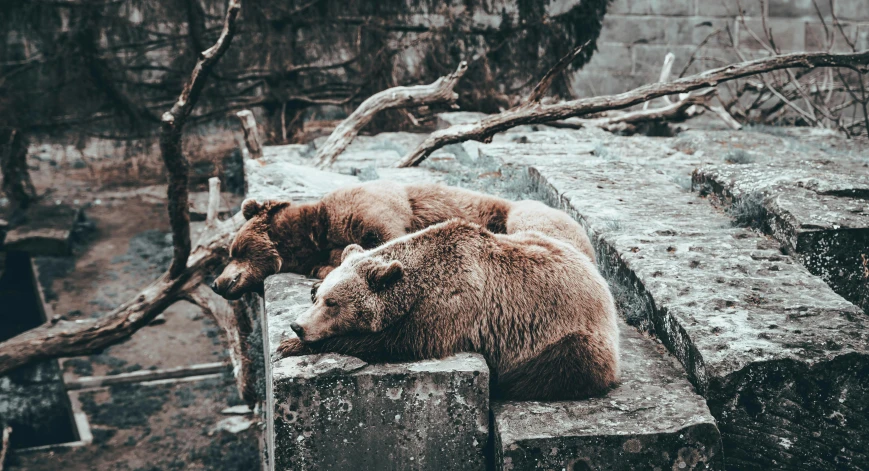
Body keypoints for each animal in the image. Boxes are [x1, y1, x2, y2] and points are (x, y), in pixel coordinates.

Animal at [212, 181, 596, 302]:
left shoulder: (373, 208)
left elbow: (389, 235)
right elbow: (334, 260)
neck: (313, 234)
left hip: (526, 214)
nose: (216, 283)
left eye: (235, 250)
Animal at [278, 219, 616, 400]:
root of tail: (599, 279)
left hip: (567, 333)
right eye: (318, 297)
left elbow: (396, 341)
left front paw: (291, 345)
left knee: (558, 366)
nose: (298, 326)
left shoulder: (451, 307)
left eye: (333, 303)